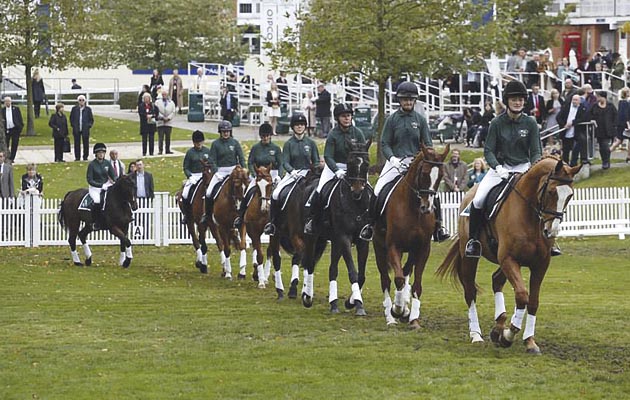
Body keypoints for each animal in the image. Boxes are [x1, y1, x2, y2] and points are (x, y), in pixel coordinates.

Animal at [302, 141, 372, 316]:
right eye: (350, 163)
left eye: (367, 163)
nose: (357, 191)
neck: (355, 203)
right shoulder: (344, 237)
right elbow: (353, 272)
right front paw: (358, 305)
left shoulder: (363, 240)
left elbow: (361, 275)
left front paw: (351, 302)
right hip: (312, 237)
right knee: (310, 264)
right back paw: (307, 297)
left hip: (334, 241)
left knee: (332, 269)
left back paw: (333, 303)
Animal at [372, 145, 452, 326]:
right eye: (424, 173)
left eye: (440, 176)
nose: (426, 208)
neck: (413, 208)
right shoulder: (393, 246)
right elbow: (398, 279)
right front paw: (397, 310)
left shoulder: (422, 248)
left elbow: (415, 284)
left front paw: (413, 317)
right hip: (379, 248)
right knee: (385, 280)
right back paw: (390, 317)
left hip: (411, 251)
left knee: (405, 271)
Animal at [440, 156, 584, 354]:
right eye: (551, 192)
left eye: (570, 195)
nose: (551, 232)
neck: (529, 214)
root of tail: (469, 194)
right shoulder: (509, 259)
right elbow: (522, 296)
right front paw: (508, 336)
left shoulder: (540, 264)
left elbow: (533, 301)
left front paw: (529, 341)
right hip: (470, 257)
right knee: (470, 292)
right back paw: (477, 335)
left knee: (496, 280)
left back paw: (498, 326)